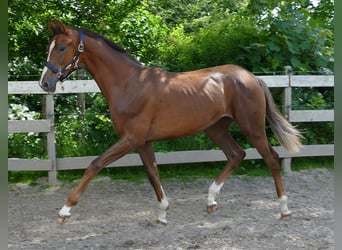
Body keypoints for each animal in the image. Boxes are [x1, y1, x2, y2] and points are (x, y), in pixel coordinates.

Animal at [38, 18, 300, 224]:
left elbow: (95, 164)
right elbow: (153, 173)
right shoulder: (142, 142)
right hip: (216, 129)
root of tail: (251, 77)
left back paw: (285, 209)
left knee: (272, 158)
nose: (45, 83)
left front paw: (64, 211)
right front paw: (162, 214)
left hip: (251, 127)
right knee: (236, 155)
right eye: (48, 48)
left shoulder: (131, 139)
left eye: (61, 47)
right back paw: (211, 201)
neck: (129, 84)